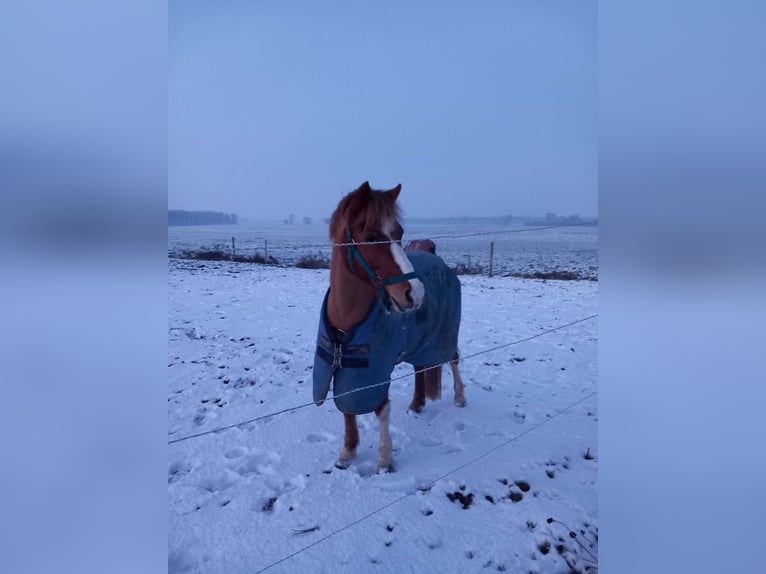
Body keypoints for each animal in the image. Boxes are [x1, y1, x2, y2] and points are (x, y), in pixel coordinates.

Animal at [313, 181, 465, 473]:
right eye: (371, 237)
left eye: (399, 233)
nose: (415, 293)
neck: (347, 316)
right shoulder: (348, 368)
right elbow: (347, 404)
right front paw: (348, 451)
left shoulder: (378, 368)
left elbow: (382, 409)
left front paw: (384, 460)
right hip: (422, 340)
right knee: (420, 367)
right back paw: (417, 404)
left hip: (445, 334)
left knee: (453, 358)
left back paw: (460, 398)